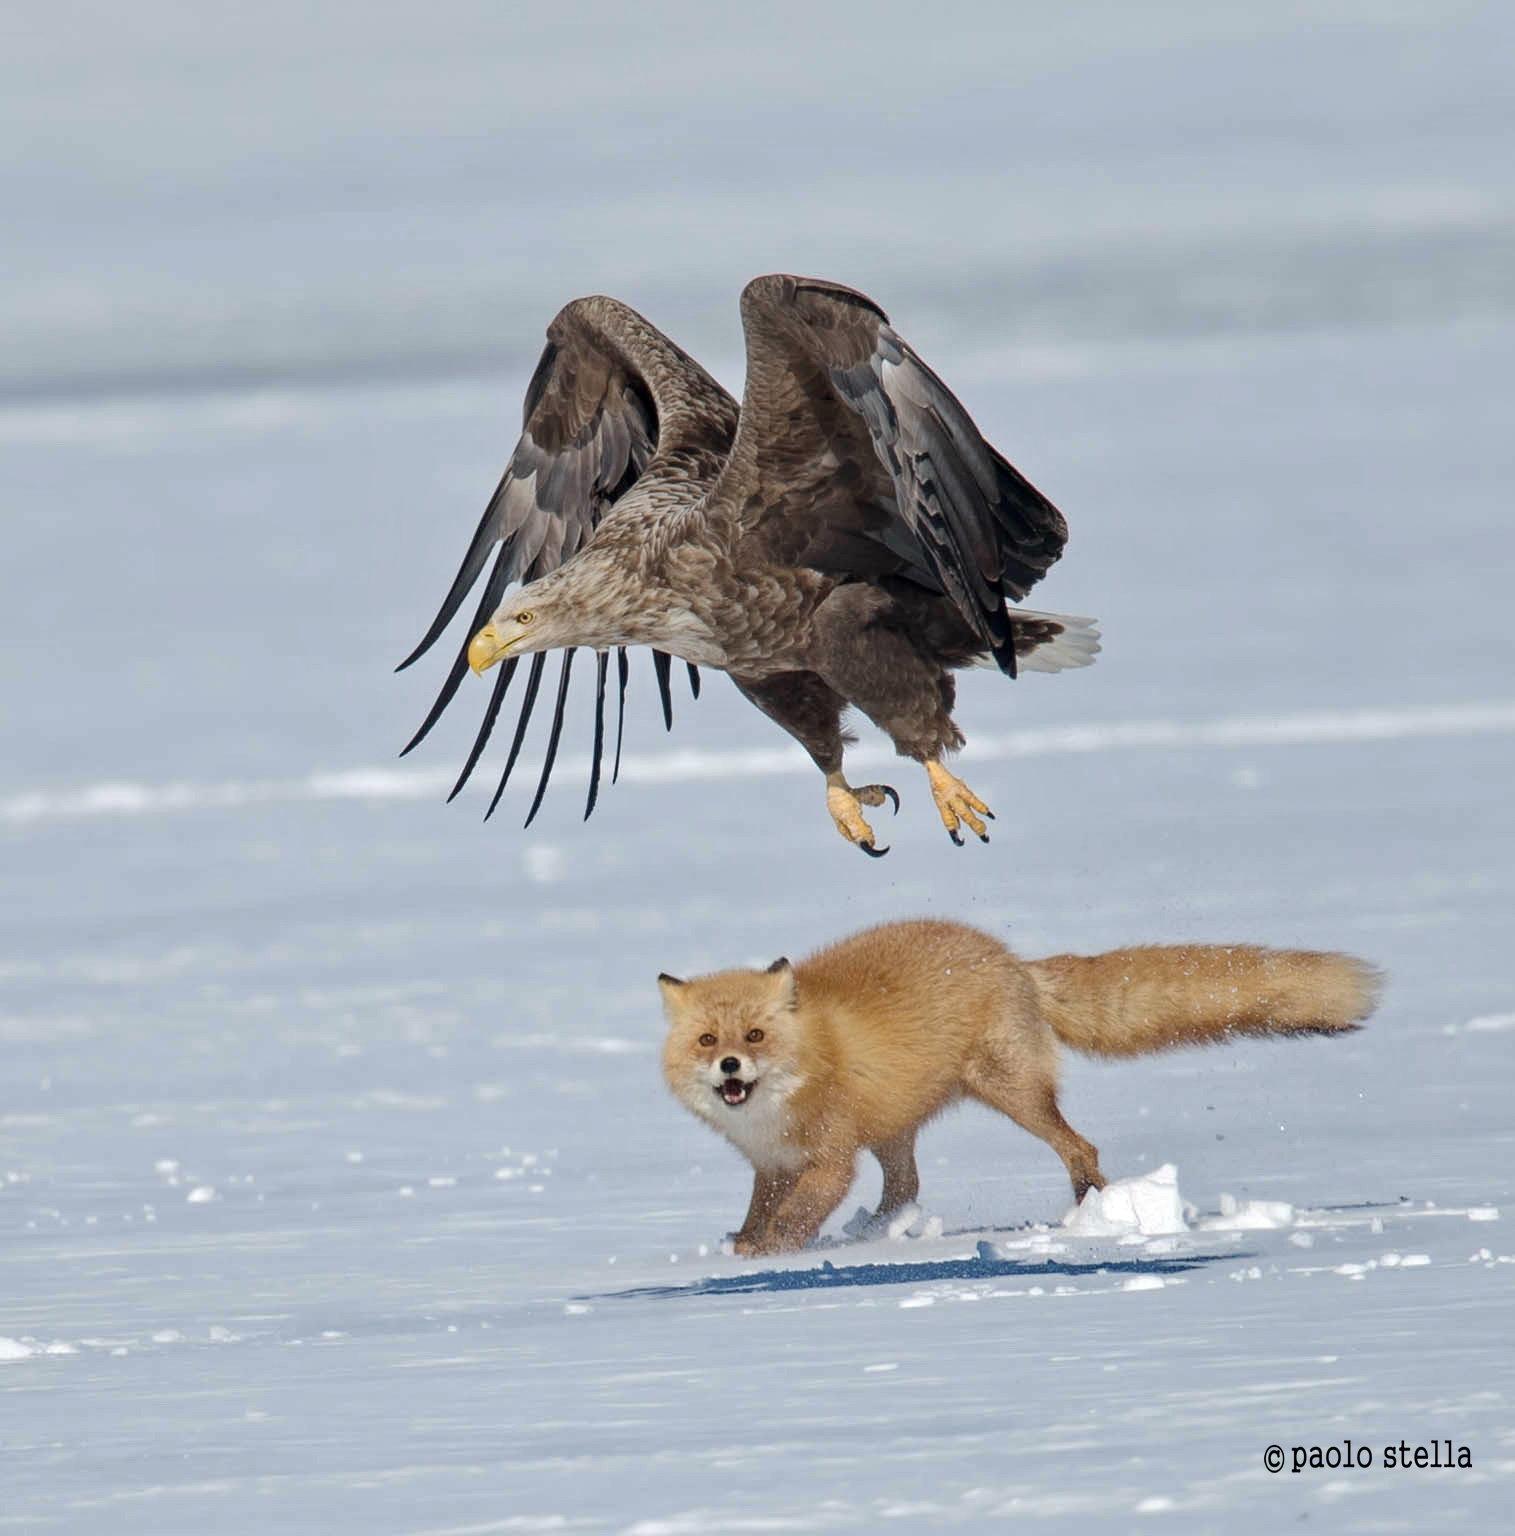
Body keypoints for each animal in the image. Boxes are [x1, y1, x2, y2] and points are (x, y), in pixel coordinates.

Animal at [658, 918, 1381, 1256]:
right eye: (707, 1041)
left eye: (754, 1037)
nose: (730, 1069)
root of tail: (1012, 961)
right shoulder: (771, 1163)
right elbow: (759, 1214)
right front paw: (742, 1248)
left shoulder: (829, 1161)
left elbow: (793, 1219)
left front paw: (769, 1257)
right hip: (896, 1127)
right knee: (906, 1188)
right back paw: (881, 1231)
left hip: (1012, 1093)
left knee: (1080, 1148)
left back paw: (1091, 1213)